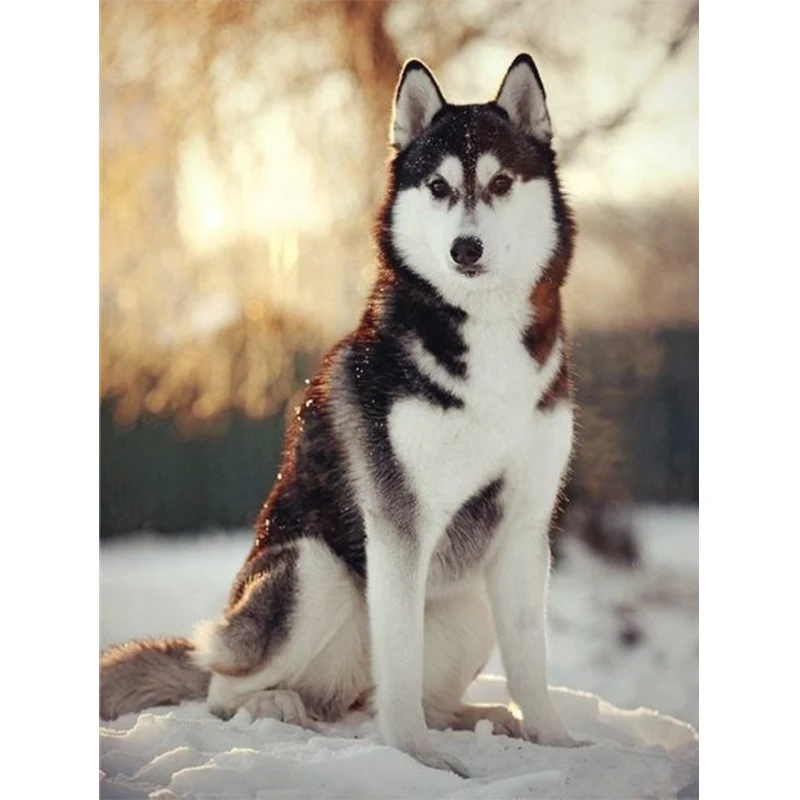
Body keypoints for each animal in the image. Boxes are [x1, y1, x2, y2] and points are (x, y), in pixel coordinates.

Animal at [101, 53, 580, 776]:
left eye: (499, 182)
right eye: (438, 186)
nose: (465, 249)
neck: (485, 335)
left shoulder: (525, 524)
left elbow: (531, 662)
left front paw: (557, 741)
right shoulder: (399, 523)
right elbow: (399, 664)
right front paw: (416, 759)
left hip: (468, 601)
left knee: (395, 693)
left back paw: (480, 718)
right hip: (313, 572)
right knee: (225, 688)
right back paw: (278, 705)